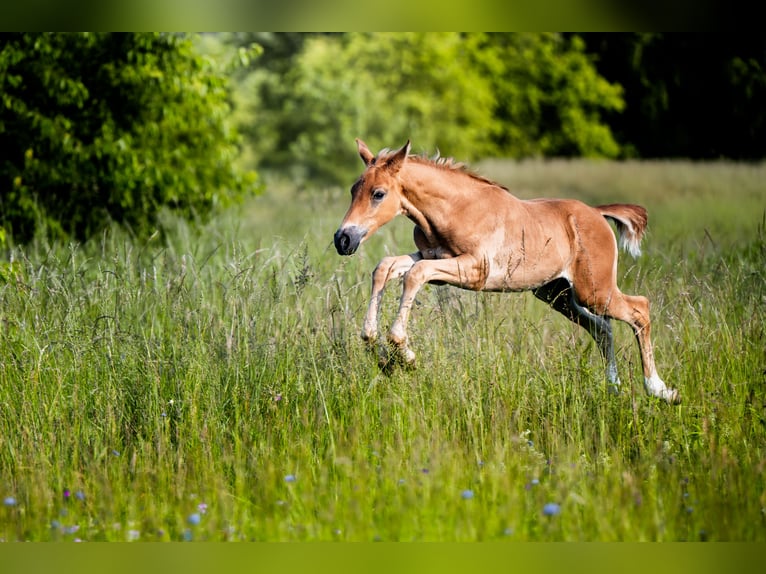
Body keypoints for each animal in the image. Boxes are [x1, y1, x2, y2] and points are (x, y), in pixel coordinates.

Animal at [333, 139, 680, 404]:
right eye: (352, 190)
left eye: (378, 193)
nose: (343, 239)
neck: (454, 209)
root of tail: (597, 213)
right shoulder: (432, 256)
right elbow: (386, 267)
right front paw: (375, 346)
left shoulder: (475, 270)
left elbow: (415, 274)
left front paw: (403, 355)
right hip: (558, 295)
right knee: (603, 329)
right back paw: (614, 387)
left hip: (594, 290)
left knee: (639, 310)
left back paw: (660, 390)